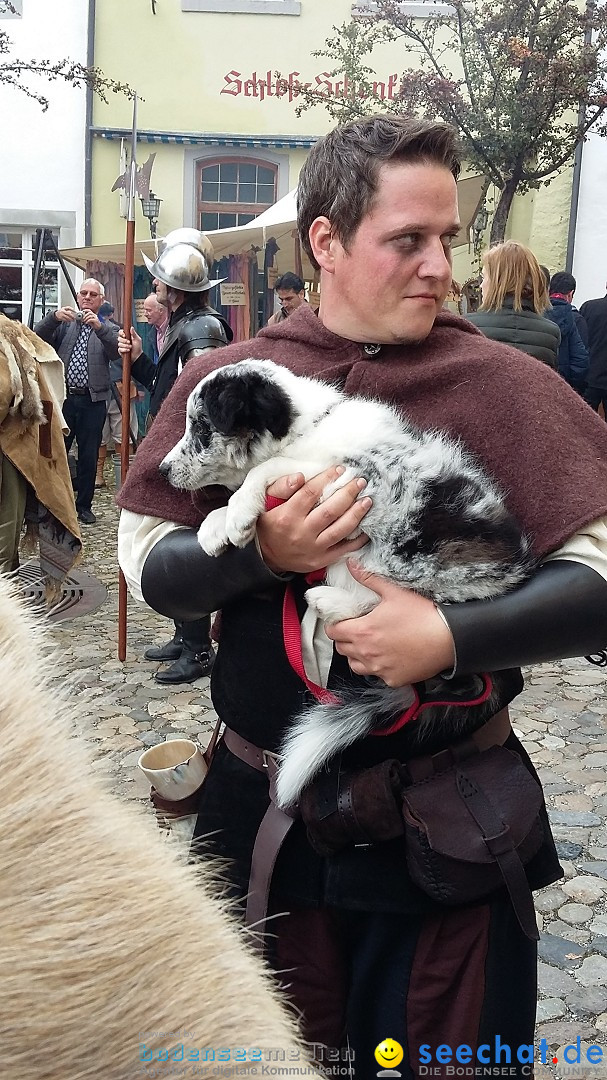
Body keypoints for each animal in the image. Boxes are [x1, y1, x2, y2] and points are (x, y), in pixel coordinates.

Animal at [158, 362, 531, 812]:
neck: (306, 430)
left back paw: (326, 600)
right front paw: (215, 529)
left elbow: (265, 471)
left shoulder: (342, 479)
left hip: (402, 554)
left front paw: (240, 514)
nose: (161, 470)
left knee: (382, 602)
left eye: (201, 426)